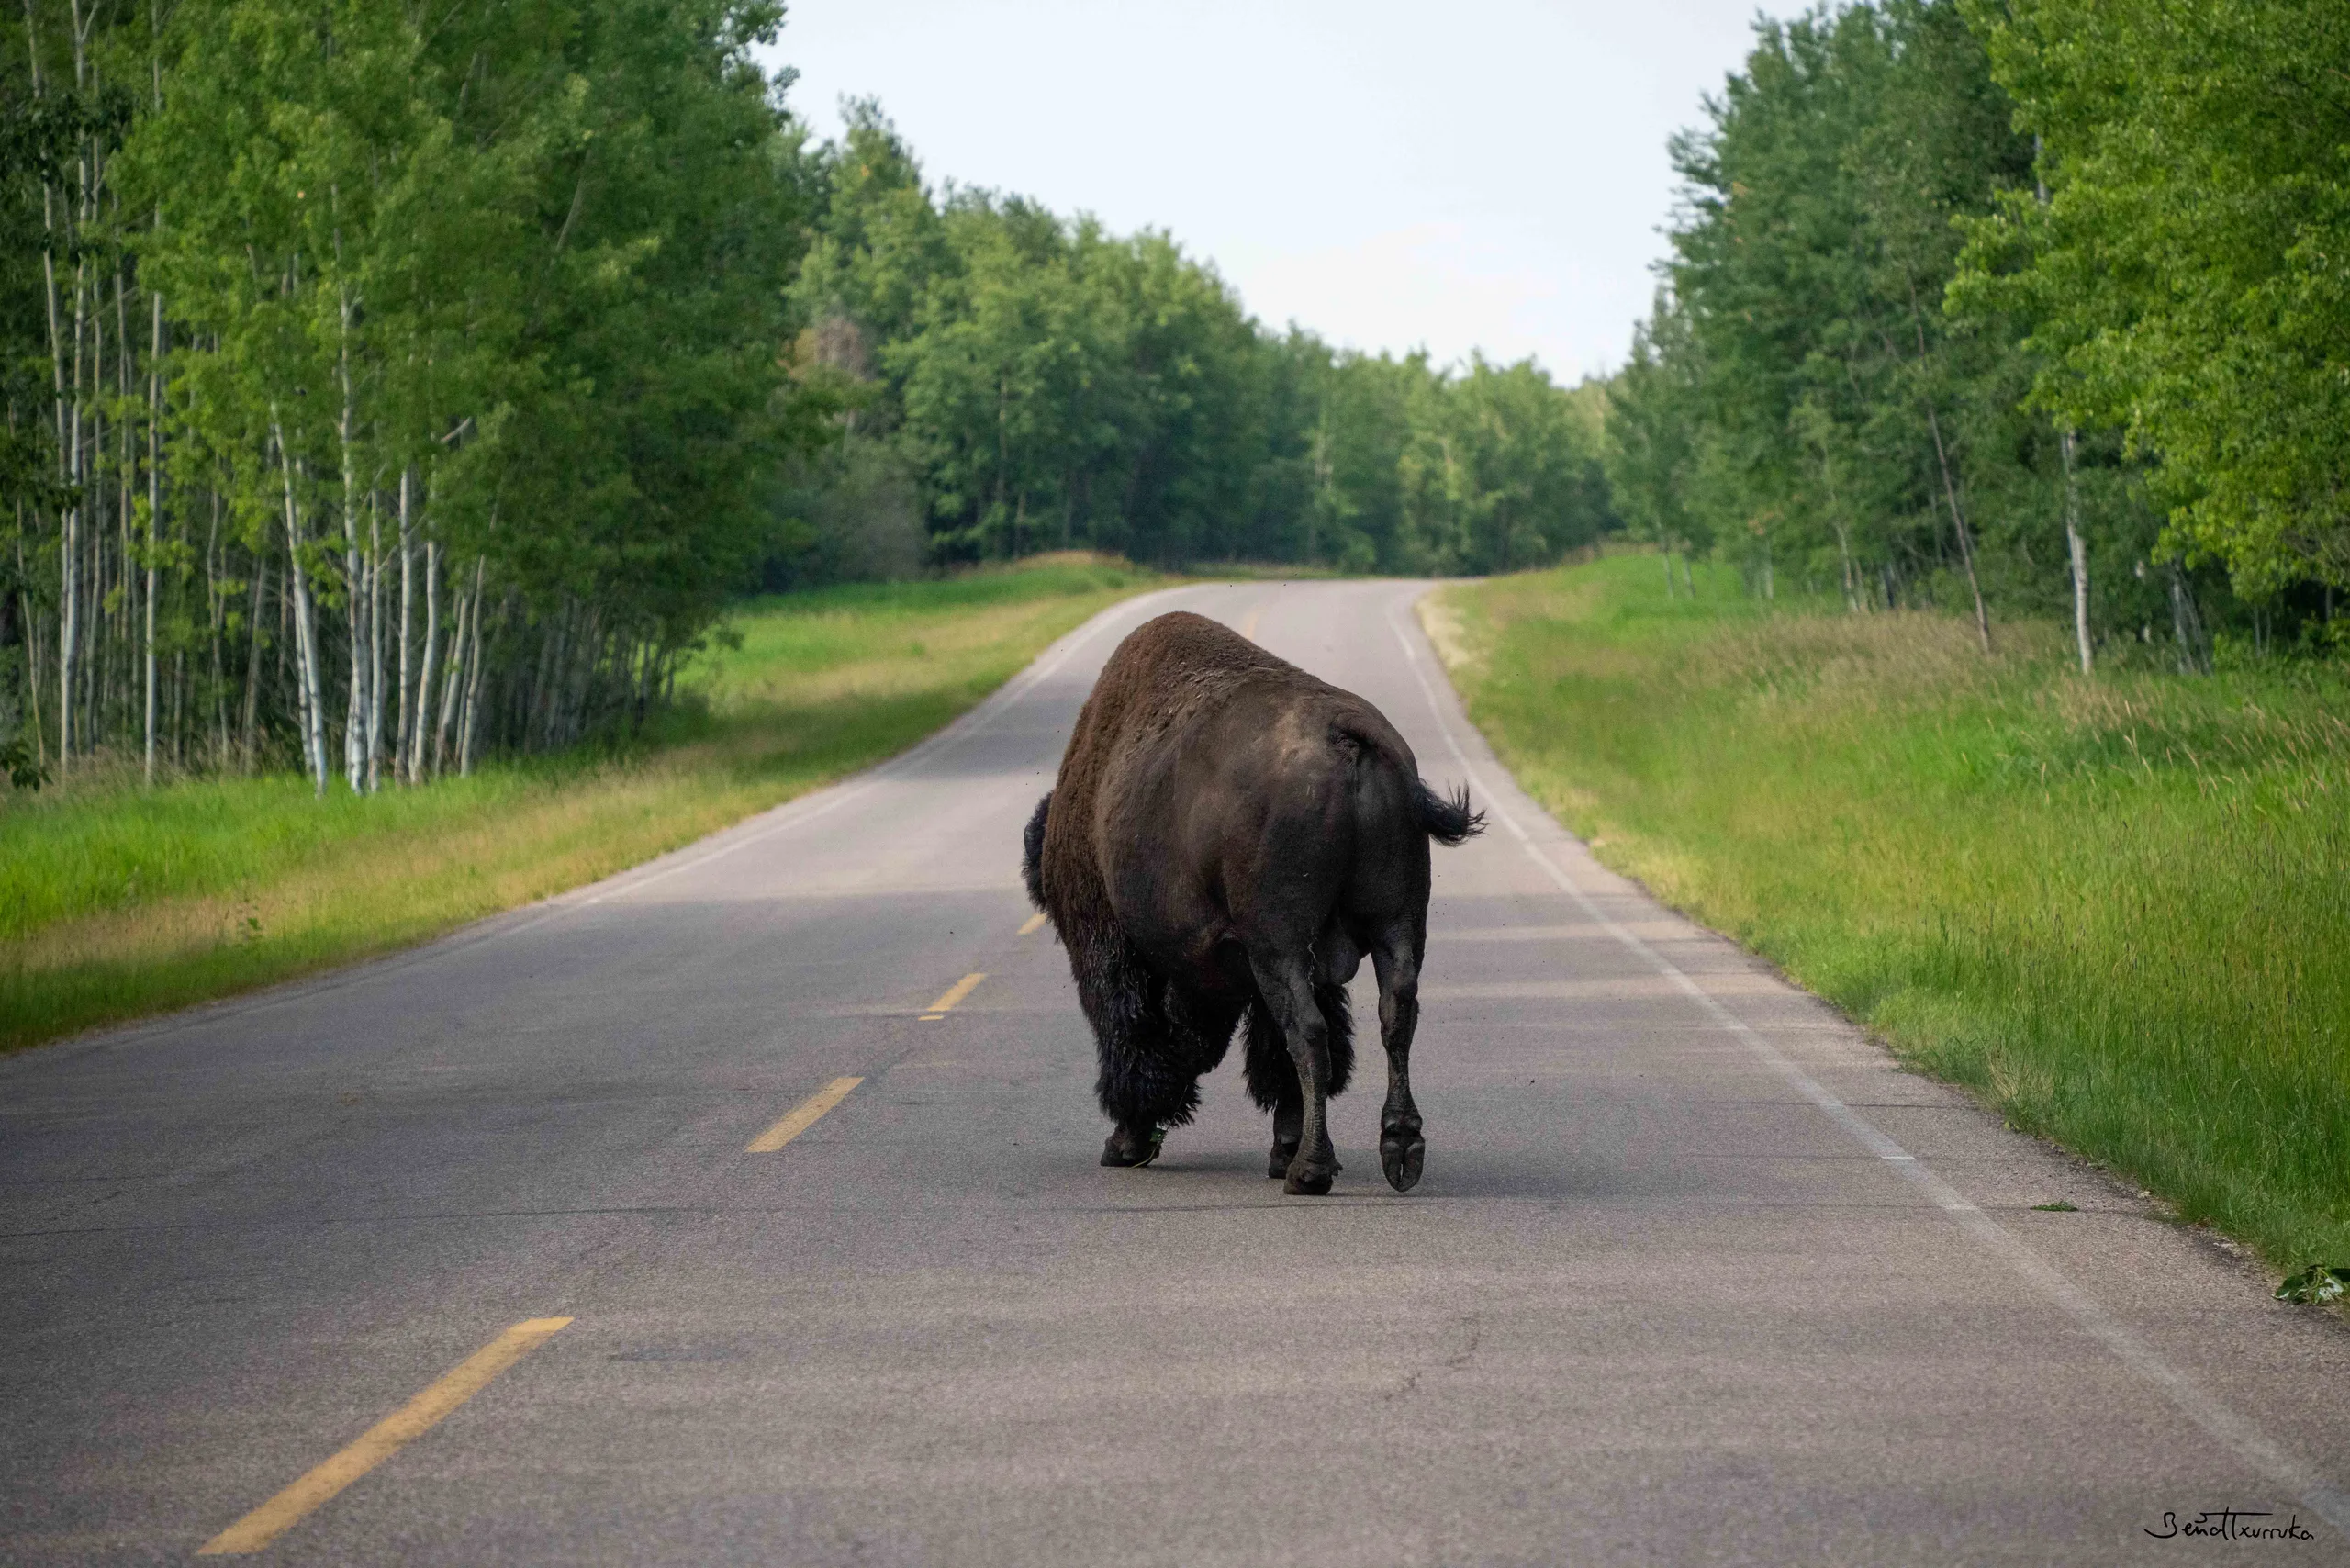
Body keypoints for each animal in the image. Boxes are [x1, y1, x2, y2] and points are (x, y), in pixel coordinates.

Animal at [1022, 611, 1482, 1195]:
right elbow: (1272, 1053)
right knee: (1393, 1016)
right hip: (1397, 924)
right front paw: (1280, 1147)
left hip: (1280, 942)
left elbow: (1132, 1033)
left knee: (1308, 1032)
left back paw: (1310, 1171)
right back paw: (1397, 1151)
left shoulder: (1112, 949)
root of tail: (1345, 737)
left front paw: (1125, 1143)